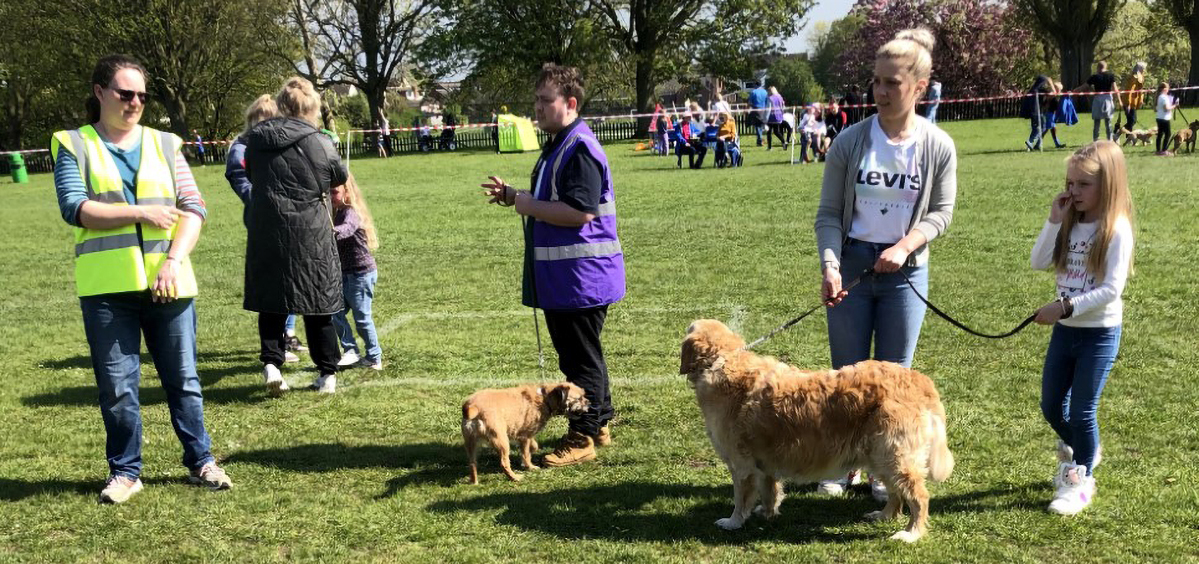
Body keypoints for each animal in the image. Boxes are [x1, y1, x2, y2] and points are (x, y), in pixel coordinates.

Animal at [685, 316, 954, 542]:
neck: (724, 362)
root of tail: (919, 380)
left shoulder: (741, 465)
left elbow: (741, 498)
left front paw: (733, 522)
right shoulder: (765, 462)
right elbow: (770, 489)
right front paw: (768, 512)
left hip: (893, 455)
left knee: (919, 497)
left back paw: (911, 533)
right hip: (880, 455)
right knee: (896, 493)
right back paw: (884, 515)